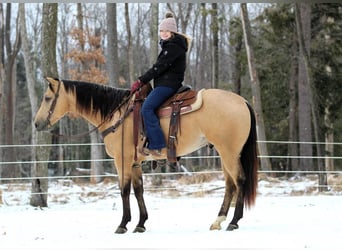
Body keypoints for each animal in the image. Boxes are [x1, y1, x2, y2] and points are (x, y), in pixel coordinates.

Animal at [34, 77, 260, 233]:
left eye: (47, 98)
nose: (36, 124)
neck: (116, 115)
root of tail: (243, 101)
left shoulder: (122, 161)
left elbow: (124, 191)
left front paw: (123, 224)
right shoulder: (135, 163)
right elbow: (138, 191)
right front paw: (140, 224)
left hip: (229, 152)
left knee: (240, 180)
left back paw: (233, 221)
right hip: (225, 154)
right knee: (230, 184)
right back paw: (218, 221)